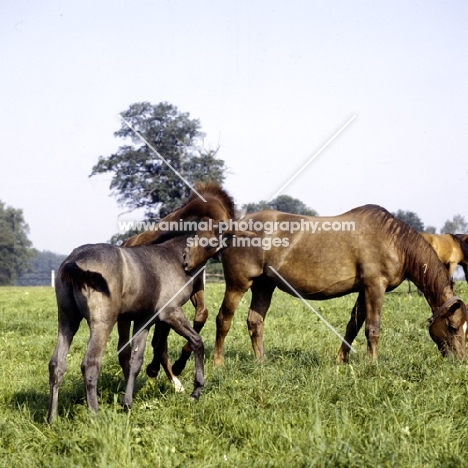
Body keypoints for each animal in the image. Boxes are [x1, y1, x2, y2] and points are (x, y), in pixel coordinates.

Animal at [47, 232, 216, 422]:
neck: (172, 256)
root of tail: (73, 261)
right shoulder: (171, 312)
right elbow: (196, 341)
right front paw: (196, 391)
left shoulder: (143, 321)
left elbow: (135, 360)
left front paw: (127, 402)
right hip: (102, 324)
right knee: (90, 364)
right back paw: (95, 417)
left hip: (67, 321)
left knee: (56, 364)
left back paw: (52, 419)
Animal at [184, 205, 468, 366]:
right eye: (453, 327)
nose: (460, 362)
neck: (394, 241)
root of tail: (231, 229)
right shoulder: (374, 286)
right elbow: (373, 328)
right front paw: (372, 364)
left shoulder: (363, 290)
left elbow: (353, 326)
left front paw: (341, 360)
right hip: (238, 283)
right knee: (224, 320)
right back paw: (218, 363)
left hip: (264, 285)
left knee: (255, 322)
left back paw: (262, 363)